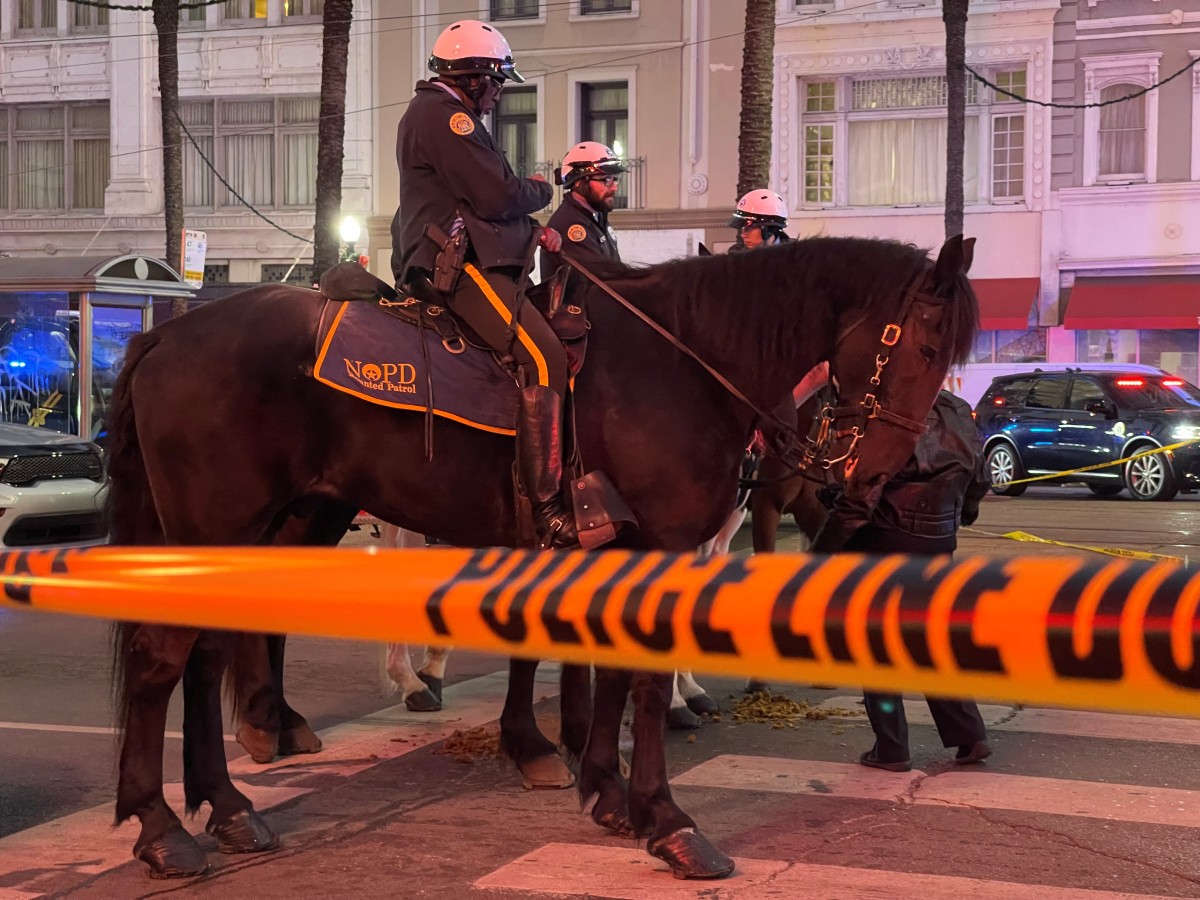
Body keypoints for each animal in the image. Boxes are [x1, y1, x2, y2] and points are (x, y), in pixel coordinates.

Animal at [108, 232, 979, 883]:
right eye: (925, 345)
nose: (870, 477)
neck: (684, 365)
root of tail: (167, 332)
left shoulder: (618, 552)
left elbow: (611, 671)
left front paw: (608, 793)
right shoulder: (658, 546)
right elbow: (642, 686)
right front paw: (667, 821)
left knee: (207, 654)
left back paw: (229, 805)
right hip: (226, 522)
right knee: (162, 657)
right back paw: (163, 827)